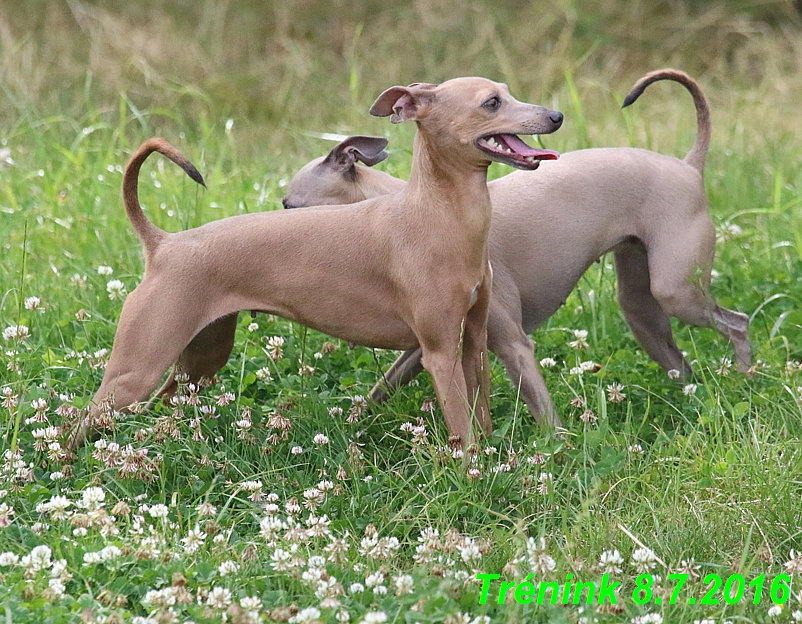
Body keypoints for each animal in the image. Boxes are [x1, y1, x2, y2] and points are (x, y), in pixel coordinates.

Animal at [69, 77, 560, 448]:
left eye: (508, 91)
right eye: (491, 102)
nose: (556, 116)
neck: (437, 215)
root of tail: (163, 243)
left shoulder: (474, 340)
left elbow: (482, 417)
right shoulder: (438, 353)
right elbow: (463, 430)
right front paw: (472, 474)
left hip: (201, 359)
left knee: (157, 405)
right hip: (138, 367)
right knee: (80, 422)